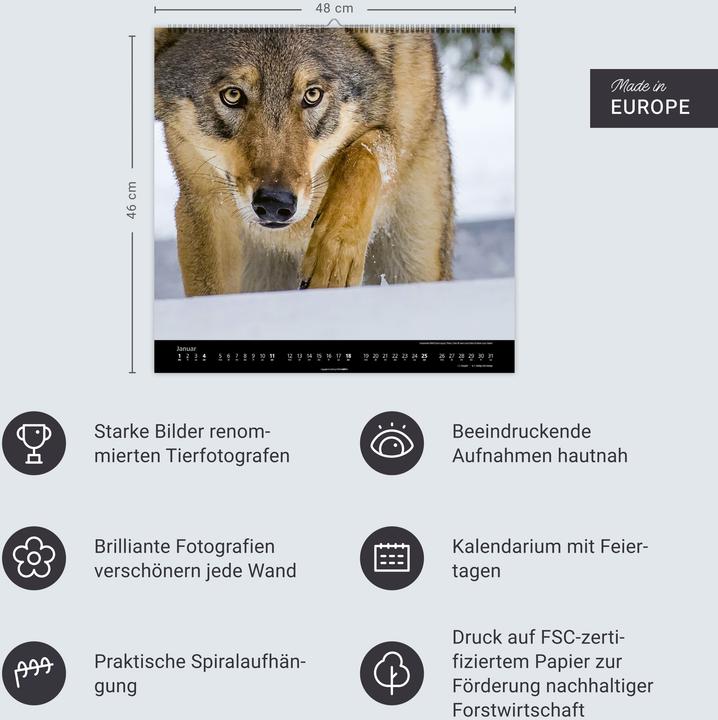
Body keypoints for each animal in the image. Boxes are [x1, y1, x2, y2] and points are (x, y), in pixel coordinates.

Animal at [155, 28, 454, 295]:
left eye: (312, 94)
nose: (274, 203)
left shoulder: (403, 122)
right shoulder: (204, 204)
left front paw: (334, 254)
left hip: (414, 257)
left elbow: (365, 151)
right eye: (232, 95)